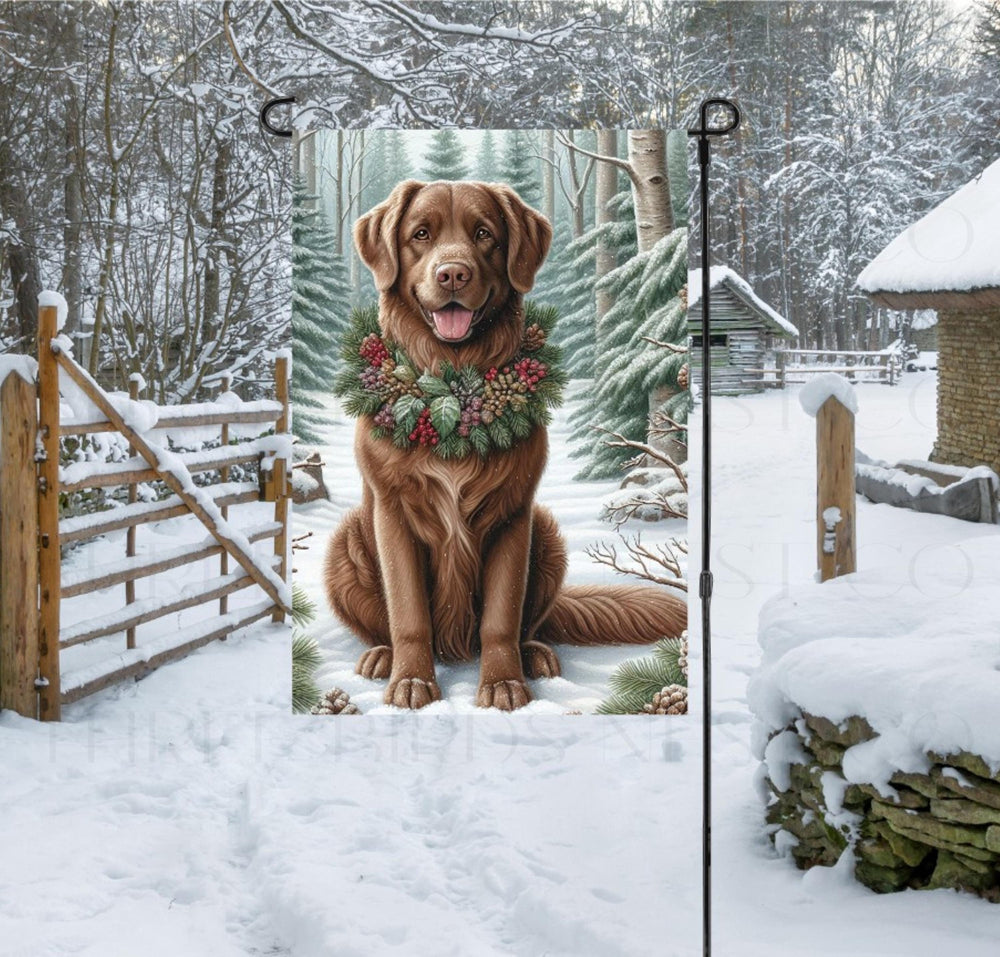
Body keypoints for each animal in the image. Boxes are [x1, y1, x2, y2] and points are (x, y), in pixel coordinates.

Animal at [324, 179, 684, 704]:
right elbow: (408, 611)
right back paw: (382, 657)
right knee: (383, 625)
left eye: (483, 234)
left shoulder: (513, 514)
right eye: (421, 234)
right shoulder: (393, 513)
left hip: (547, 533)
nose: (453, 273)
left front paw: (503, 684)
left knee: (530, 624)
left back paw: (534, 655)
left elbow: (502, 615)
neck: (453, 388)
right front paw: (412, 681)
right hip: (347, 539)